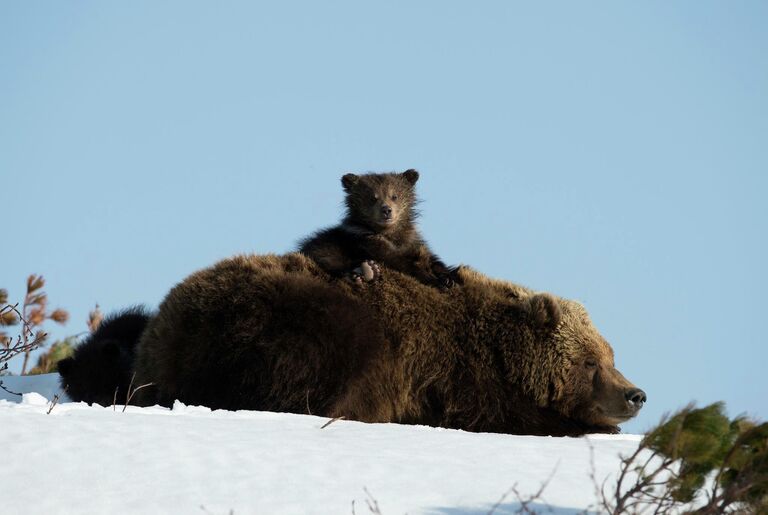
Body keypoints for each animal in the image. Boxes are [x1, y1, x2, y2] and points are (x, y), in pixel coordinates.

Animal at [132, 254, 640, 436]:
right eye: (591, 362)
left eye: (612, 355)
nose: (635, 394)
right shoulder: (453, 374)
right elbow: (501, 417)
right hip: (287, 316)